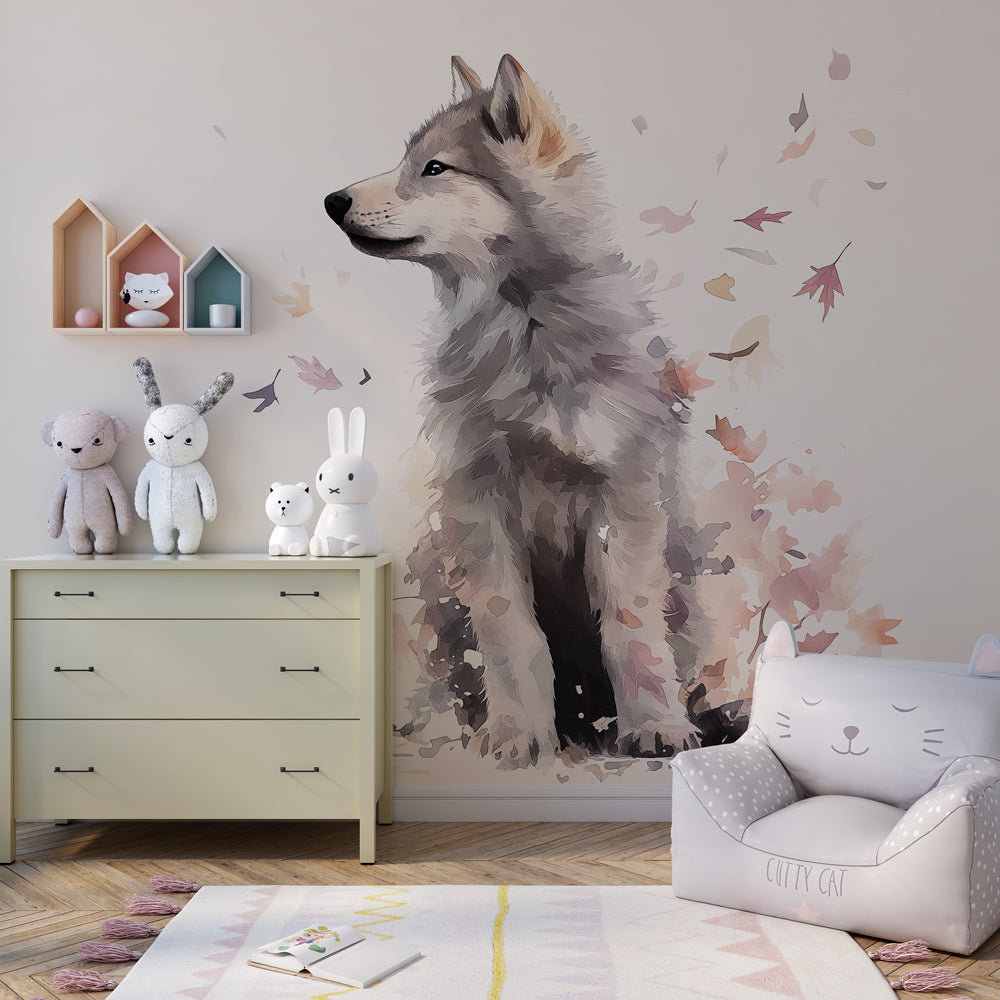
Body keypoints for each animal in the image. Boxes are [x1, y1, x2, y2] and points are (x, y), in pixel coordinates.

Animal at [325, 54, 708, 765]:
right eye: (405, 160)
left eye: (435, 168)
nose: (332, 201)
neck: (523, 331)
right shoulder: (480, 496)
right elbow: (511, 634)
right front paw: (517, 737)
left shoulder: (623, 493)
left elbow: (630, 627)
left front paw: (657, 728)